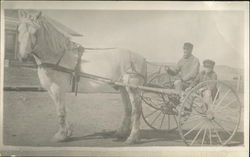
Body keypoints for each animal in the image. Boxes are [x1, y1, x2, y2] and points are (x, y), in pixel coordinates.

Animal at [17, 10, 146, 145]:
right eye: (18, 30)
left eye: (35, 32)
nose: (23, 57)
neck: (55, 56)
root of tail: (141, 57)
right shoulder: (51, 90)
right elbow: (63, 110)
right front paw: (68, 132)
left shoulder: (57, 89)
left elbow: (61, 111)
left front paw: (61, 136)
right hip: (122, 88)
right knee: (128, 109)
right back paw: (121, 133)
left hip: (133, 88)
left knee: (137, 110)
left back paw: (132, 137)